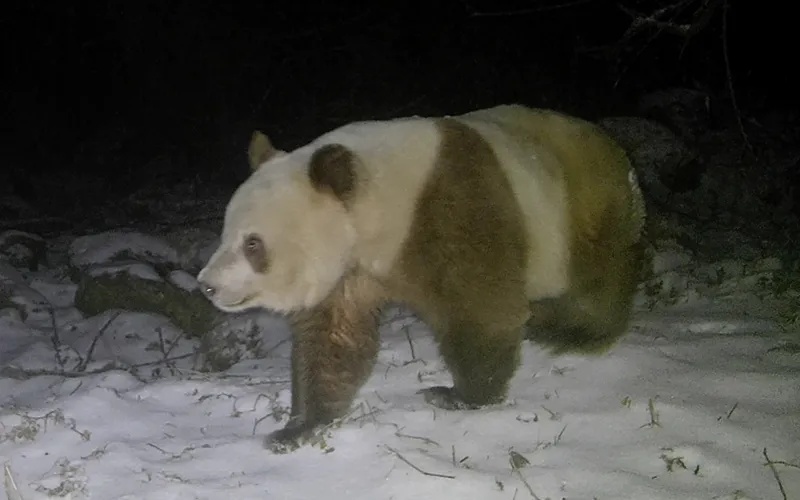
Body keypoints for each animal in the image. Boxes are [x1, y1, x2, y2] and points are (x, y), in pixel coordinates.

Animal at [197, 104, 648, 454]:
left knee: (596, 283)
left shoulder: (453, 209)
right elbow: (334, 339)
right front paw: (298, 428)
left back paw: (576, 332)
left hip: (581, 209)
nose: (207, 284)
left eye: (253, 244)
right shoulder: (351, 268)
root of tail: (615, 149)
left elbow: (481, 306)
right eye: (225, 232)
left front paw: (461, 396)